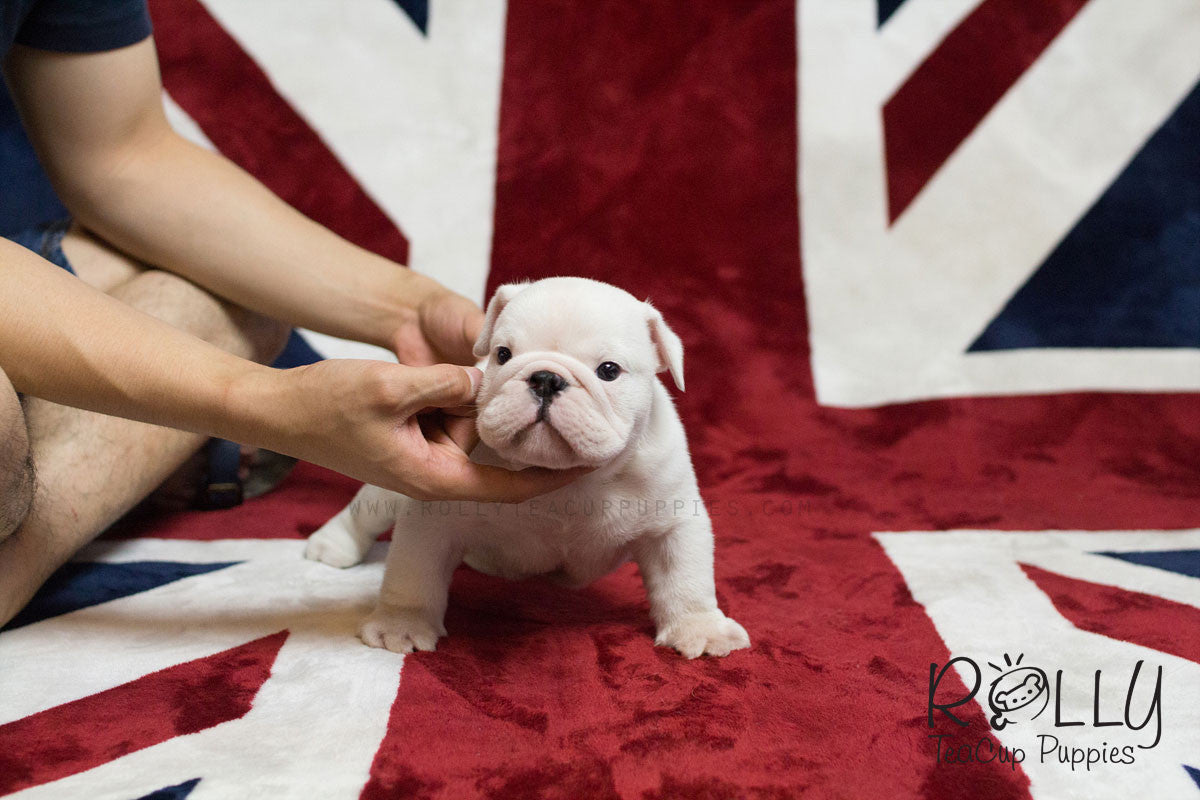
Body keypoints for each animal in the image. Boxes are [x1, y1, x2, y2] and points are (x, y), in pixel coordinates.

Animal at [304, 278, 744, 662]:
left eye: (608, 370)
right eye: (503, 355)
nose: (546, 378)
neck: (571, 480)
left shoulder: (673, 522)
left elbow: (685, 577)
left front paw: (700, 629)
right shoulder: (431, 518)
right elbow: (412, 573)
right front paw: (400, 625)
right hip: (389, 488)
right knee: (364, 513)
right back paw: (332, 545)